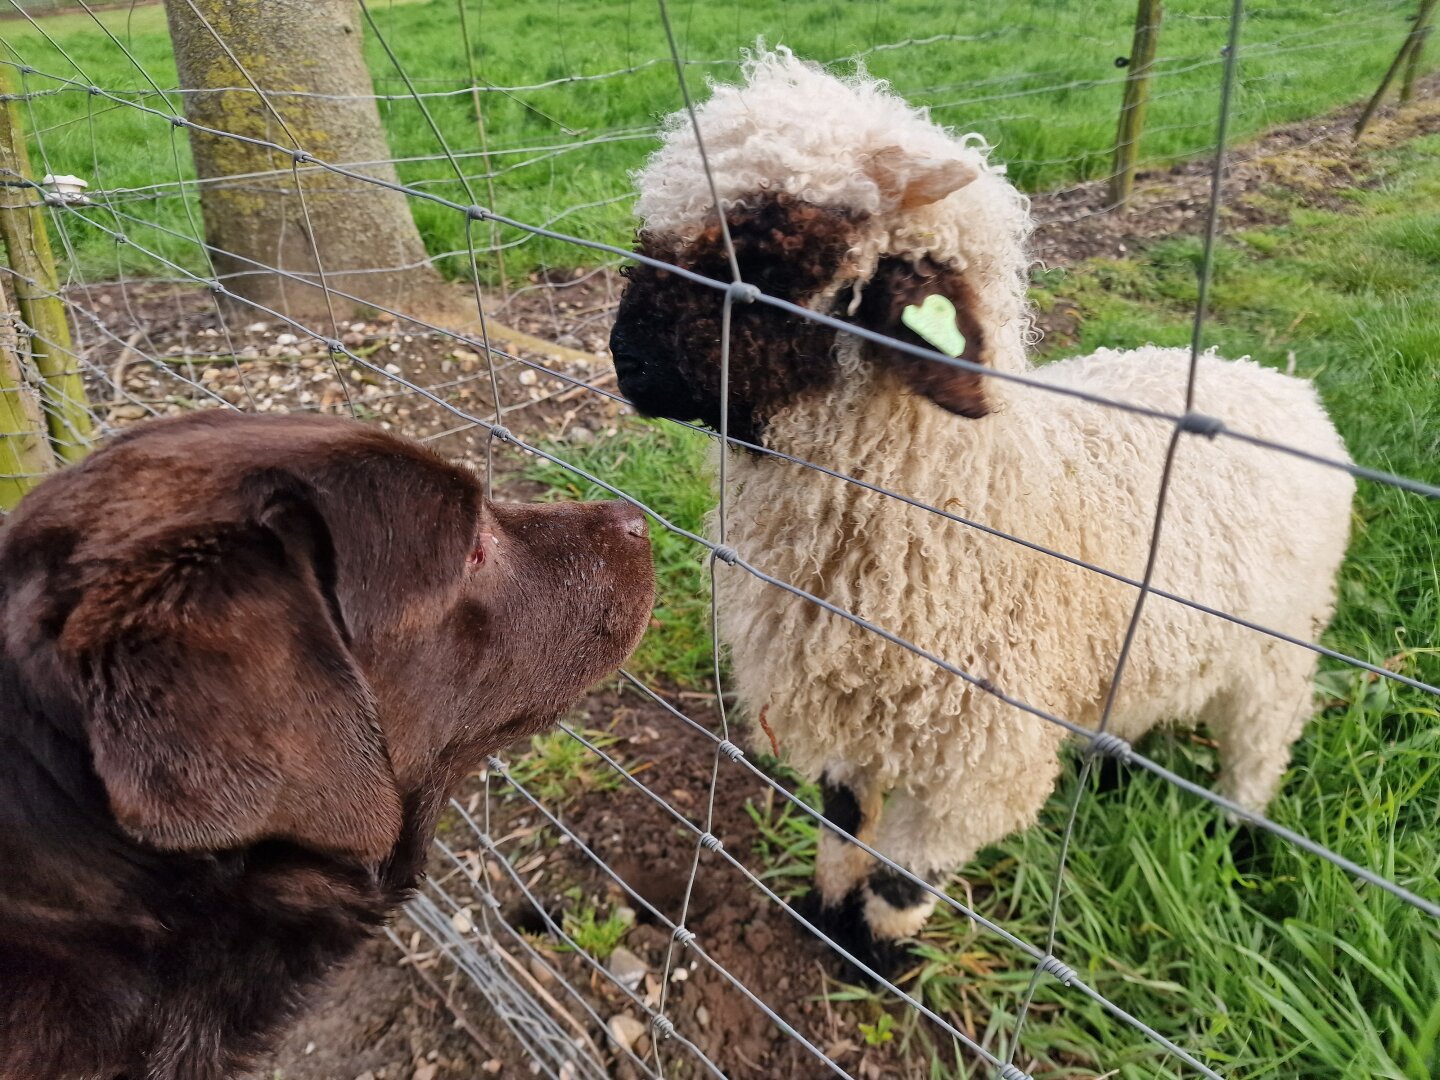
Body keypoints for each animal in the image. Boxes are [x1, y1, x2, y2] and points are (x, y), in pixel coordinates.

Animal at [609, 47, 1356, 976]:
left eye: (777, 250)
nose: (624, 359)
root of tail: (1277, 380)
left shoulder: (981, 756)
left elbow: (904, 876)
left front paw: (873, 960)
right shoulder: (849, 711)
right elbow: (843, 821)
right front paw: (823, 917)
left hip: (1278, 639)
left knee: (1266, 732)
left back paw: (1239, 831)